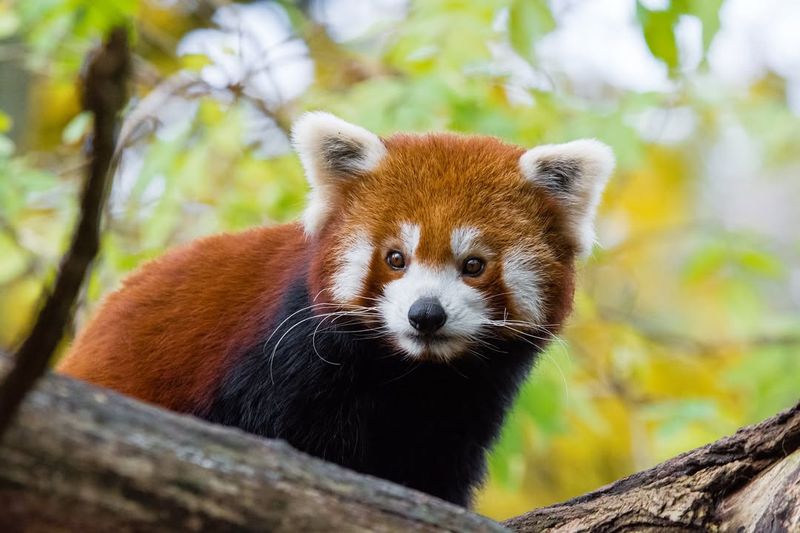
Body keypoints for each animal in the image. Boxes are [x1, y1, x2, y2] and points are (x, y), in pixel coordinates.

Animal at [59, 111, 616, 502]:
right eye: (395, 258)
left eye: (474, 265)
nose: (425, 314)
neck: (410, 375)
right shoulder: (281, 366)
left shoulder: (463, 407)